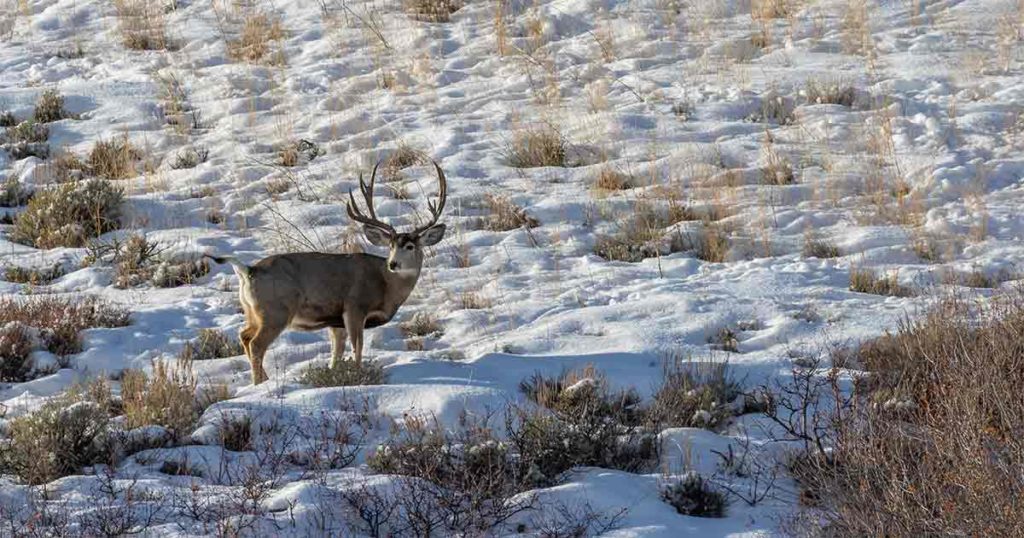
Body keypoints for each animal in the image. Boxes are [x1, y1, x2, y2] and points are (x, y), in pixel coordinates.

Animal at [206, 160, 447, 384]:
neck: (386, 285)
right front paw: (357, 376)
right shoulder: (354, 306)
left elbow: (336, 355)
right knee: (256, 344)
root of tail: (248, 270)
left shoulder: (335, 322)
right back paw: (259, 384)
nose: (393, 264)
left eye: (410, 246)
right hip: (276, 310)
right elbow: (357, 349)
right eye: (390, 246)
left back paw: (263, 380)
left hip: (252, 311)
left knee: (244, 336)